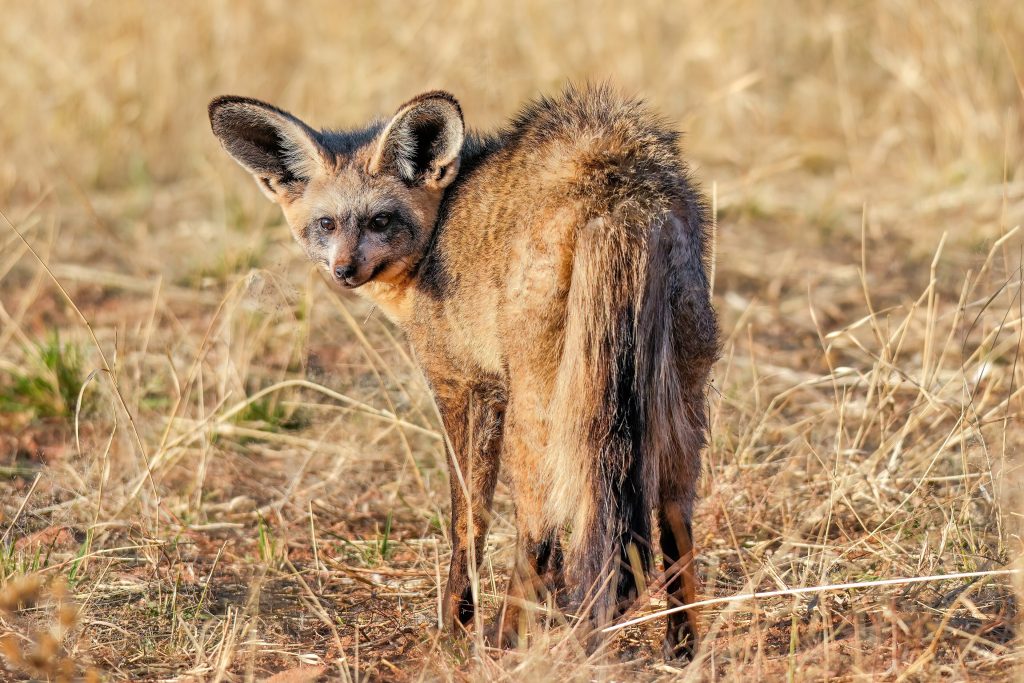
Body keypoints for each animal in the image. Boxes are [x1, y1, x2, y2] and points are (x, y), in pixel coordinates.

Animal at [208, 84, 718, 658]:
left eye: (380, 221)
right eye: (326, 224)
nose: (344, 272)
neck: (437, 235)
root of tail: (622, 188)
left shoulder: (459, 386)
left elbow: (467, 519)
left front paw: (456, 624)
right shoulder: (494, 390)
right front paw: (523, 617)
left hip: (544, 415)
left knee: (538, 531)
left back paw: (501, 639)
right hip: (675, 409)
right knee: (675, 528)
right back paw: (681, 648)